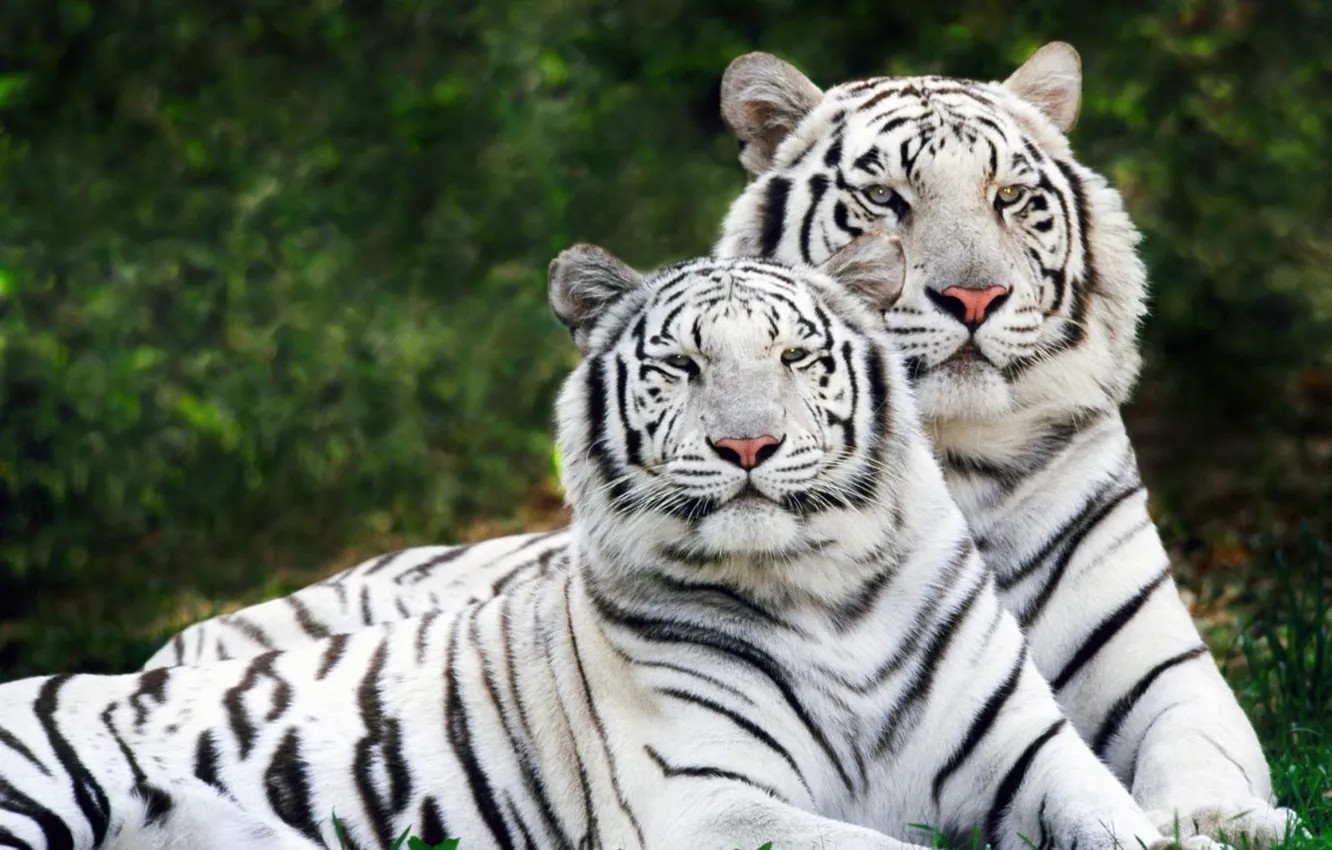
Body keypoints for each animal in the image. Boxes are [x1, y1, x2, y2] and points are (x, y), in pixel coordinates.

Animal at [0, 241, 1223, 850]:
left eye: (795, 356)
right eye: (682, 365)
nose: (747, 444)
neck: (824, 591)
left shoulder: (1034, 756)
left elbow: (1134, 831)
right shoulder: (707, 801)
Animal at [142, 43, 1299, 846]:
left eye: (1013, 198)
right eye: (885, 199)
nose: (973, 297)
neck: (955, 462)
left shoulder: (1162, 670)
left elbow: (1201, 754)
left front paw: (1233, 822)